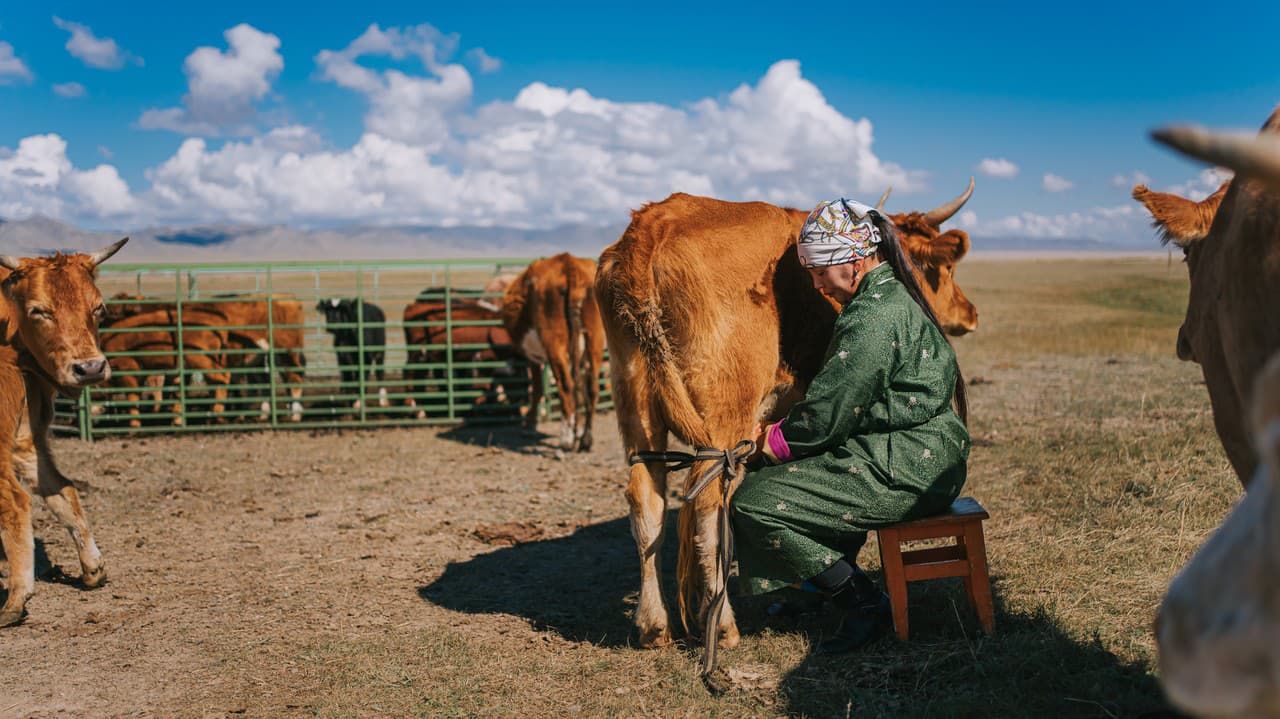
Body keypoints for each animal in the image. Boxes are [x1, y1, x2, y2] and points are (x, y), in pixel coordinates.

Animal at [0, 237, 126, 624]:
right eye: (39, 310)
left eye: (99, 308)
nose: (90, 368)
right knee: (60, 487)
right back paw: (92, 569)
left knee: (16, 501)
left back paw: (15, 600)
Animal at [499, 254, 604, 450]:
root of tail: (569, 264)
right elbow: (580, 389)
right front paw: (578, 430)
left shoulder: (534, 358)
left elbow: (537, 388)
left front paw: (530, 426)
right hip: (595, 338)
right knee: (591, 387)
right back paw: (585, 439)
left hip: (554, 342)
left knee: (566, 385)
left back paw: (566, 440)